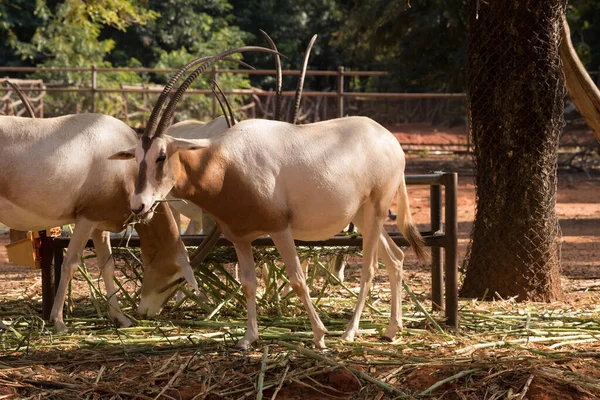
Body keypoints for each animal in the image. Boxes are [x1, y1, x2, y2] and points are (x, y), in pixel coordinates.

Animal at [0, 113, 198, 332]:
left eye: (160, 157)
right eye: (179, 278)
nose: (148, 312)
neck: (124, 168)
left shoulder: (100, 225)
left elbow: (107, 265)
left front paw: (121, 318)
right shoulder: (86, 218)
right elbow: (70, 263)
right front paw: (58, 321)